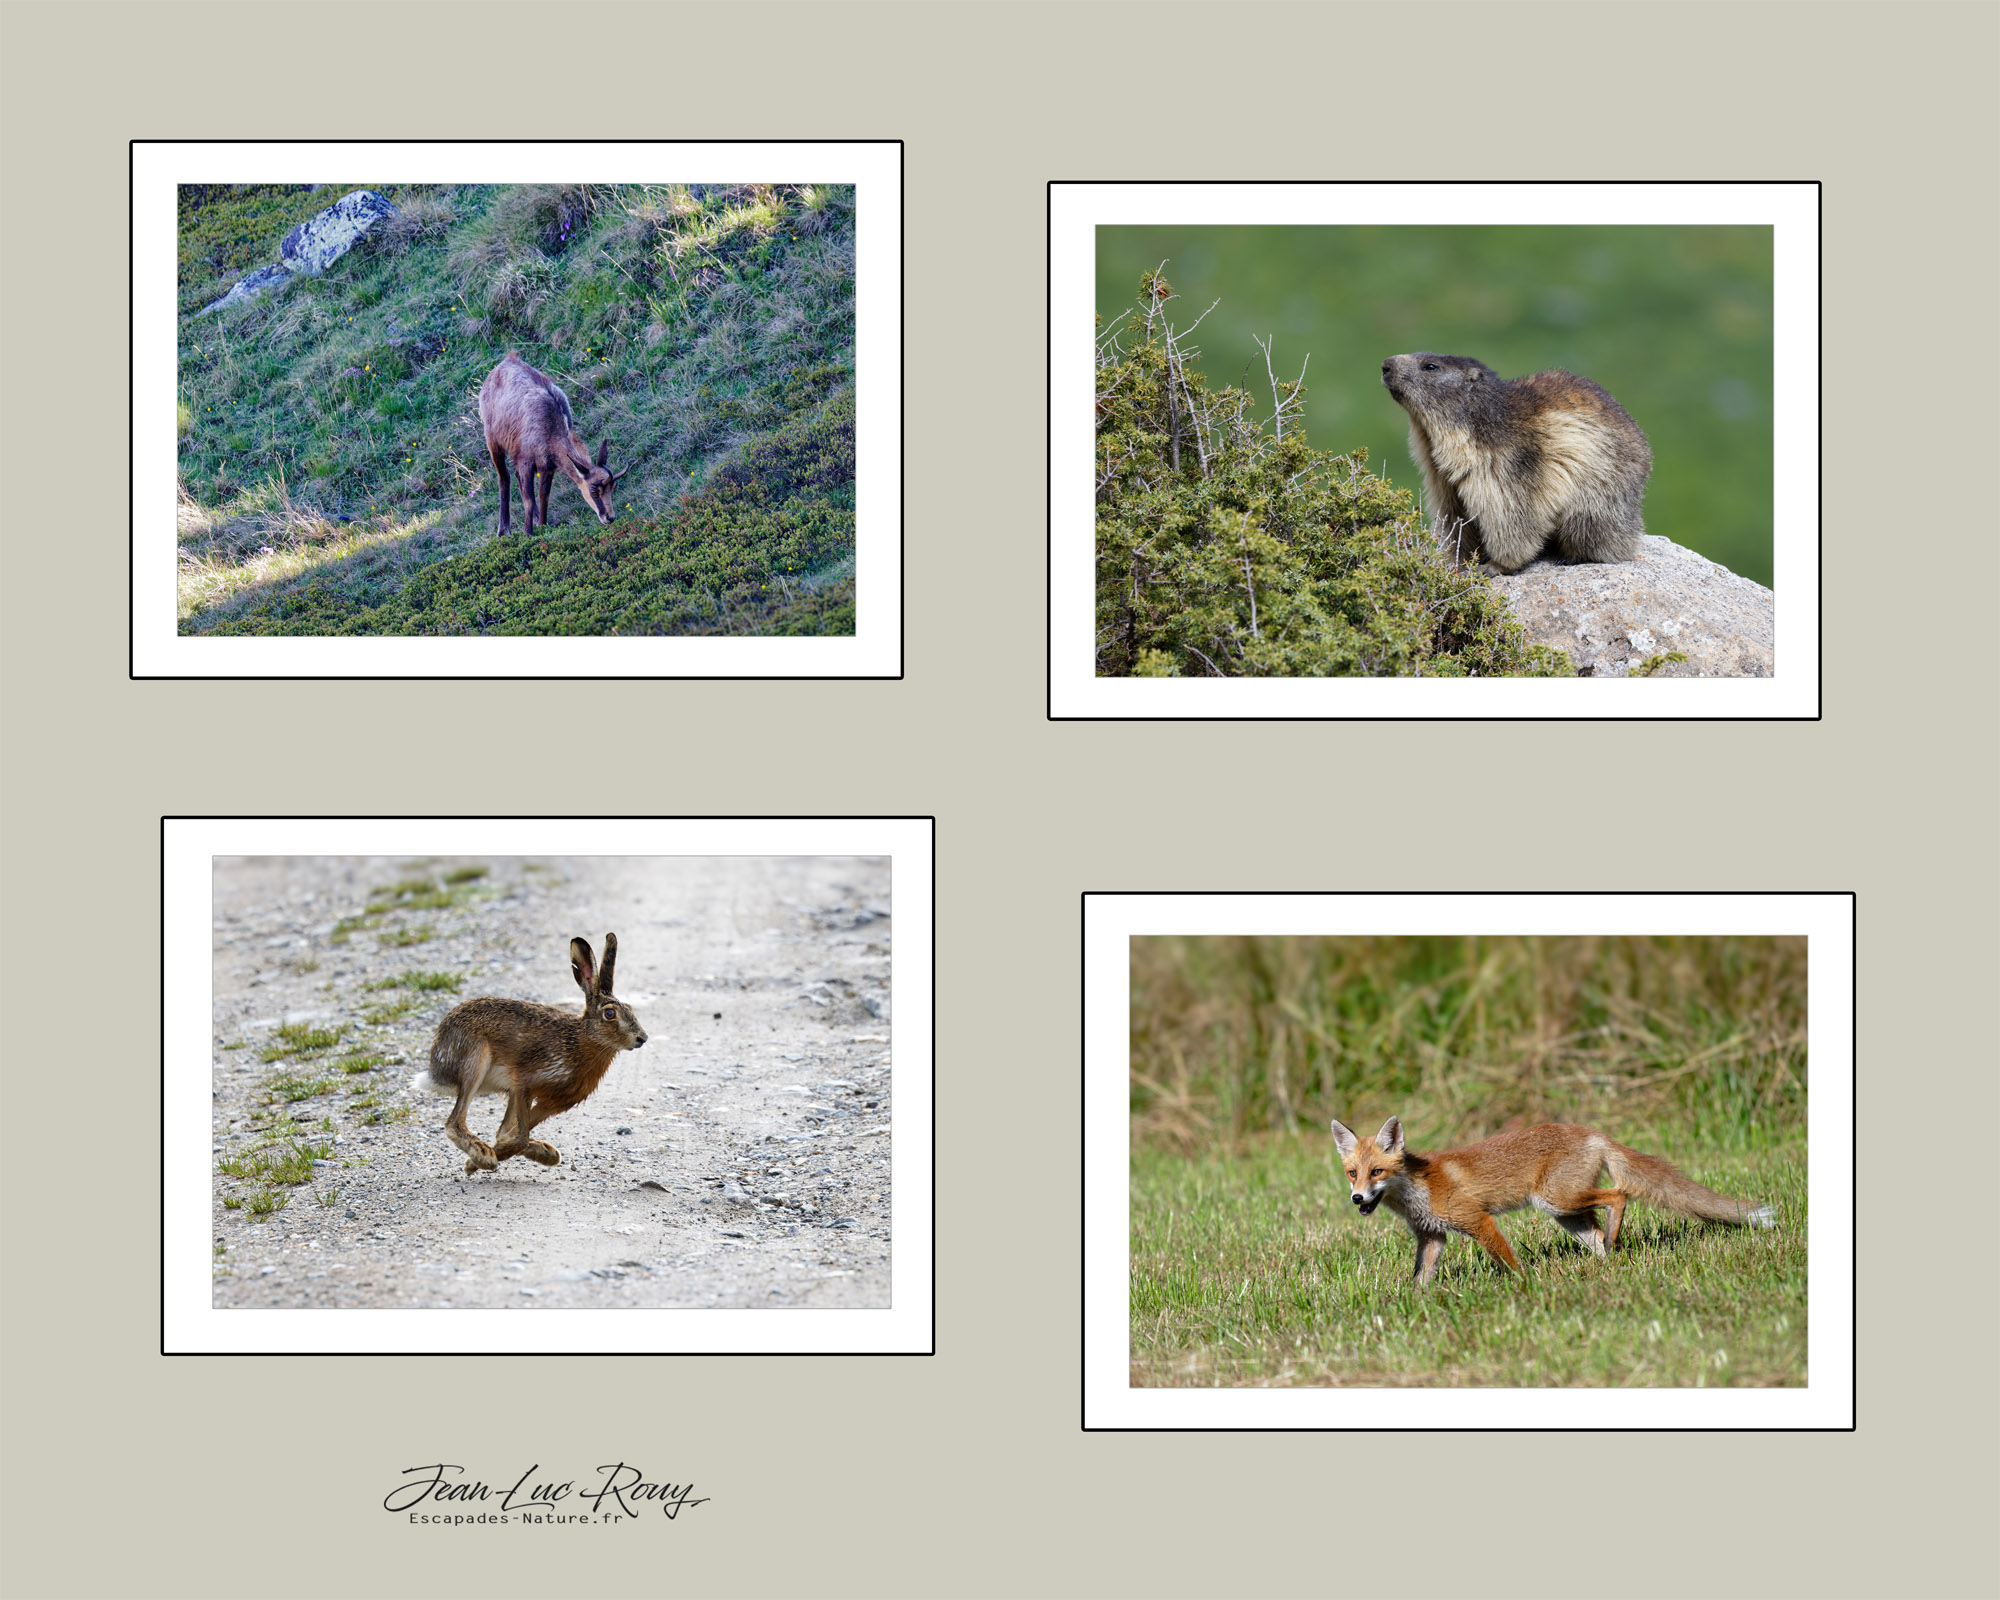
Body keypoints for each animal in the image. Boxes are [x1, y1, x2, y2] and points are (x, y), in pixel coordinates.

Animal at [1336, 1120, 1776, 1280]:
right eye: (1352, 1173)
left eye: (1377, 1172)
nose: (1357, 1198)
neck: (1417, 1189)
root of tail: (1590, 1131)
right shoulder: (1432, 1237)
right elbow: (1420, 1281)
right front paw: (1416, 1304)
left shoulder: (1478, 1220)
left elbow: (1509, 1262)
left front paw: (1525, 1288)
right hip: (1565, 1213)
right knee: (1596, 1236)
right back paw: (1607, 1265)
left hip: (1556, 1199)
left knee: (1619, 1194)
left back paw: (1615, 1237)